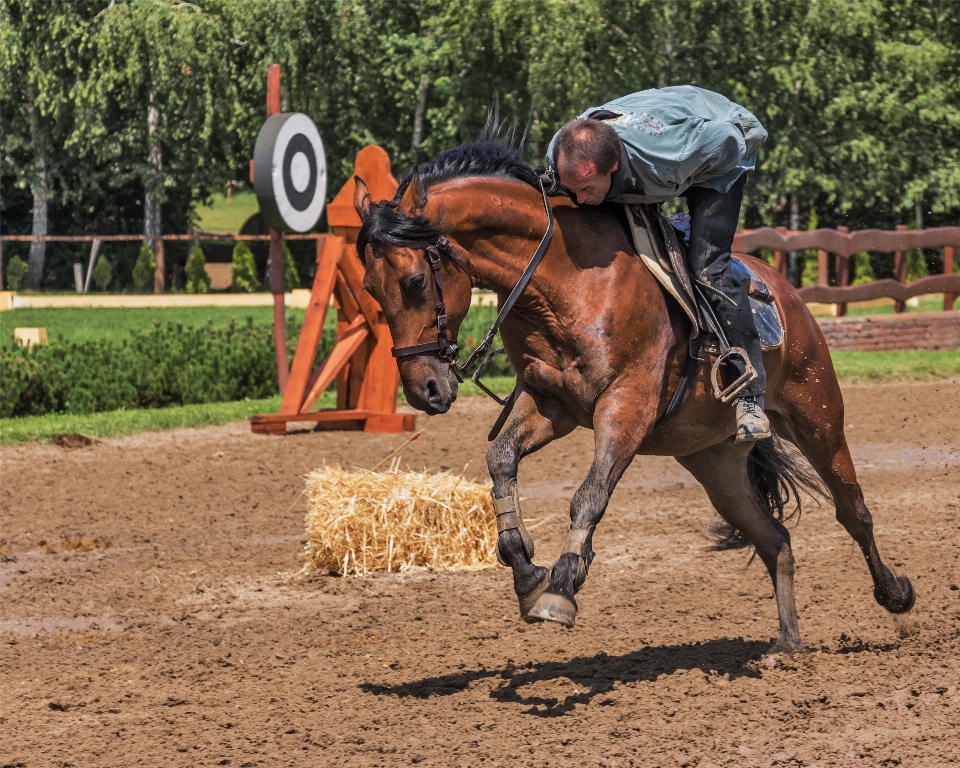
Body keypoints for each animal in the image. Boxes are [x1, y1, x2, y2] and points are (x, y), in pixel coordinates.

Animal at [352, 142, 916, 656]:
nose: (424, 390)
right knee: (774, 538)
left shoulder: (627, 404)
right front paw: (525, 569)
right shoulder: (552, 404)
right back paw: (788, 643)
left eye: (415, 280)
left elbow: (589, 494)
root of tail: (786, 293)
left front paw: (561, 586)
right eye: (370, 290)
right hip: (713, 461)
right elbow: (501, 458)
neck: (566, 280)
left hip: (817, 417)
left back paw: (896, 597)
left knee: (854, 511)